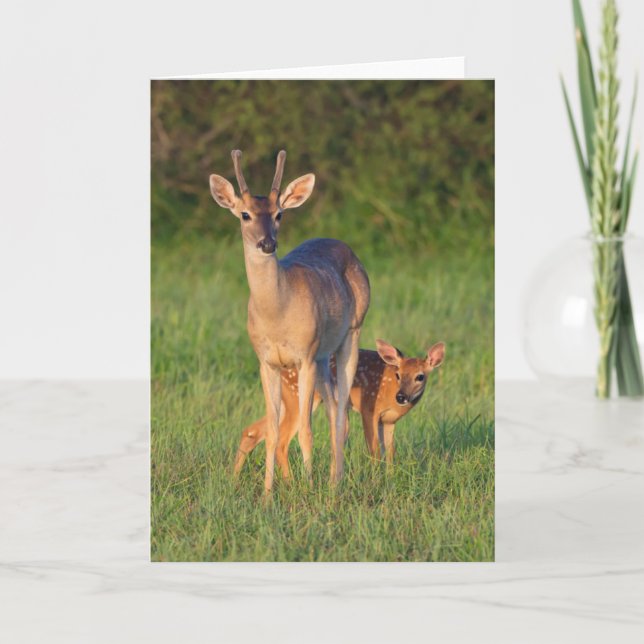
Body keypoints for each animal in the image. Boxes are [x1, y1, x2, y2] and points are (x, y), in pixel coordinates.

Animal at [209, 150, 370, 493]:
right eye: (244, 214)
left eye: (279, 214)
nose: (267, 244)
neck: (277, 315)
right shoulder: (266, 361)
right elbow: (272, 432)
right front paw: (268, 494)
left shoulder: (304, 355)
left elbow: (306, 432)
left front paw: (307, 492)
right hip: (322, 356)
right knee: (335, 407)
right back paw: (334, 480)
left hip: (351, 333)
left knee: (339, 411)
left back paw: (335, 484)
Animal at [233, 339, 445, 474]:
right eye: (398, 374)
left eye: (420, 376)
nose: (401, 396)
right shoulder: (369, 408)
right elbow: (375, 450)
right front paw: (376, 479)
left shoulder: (389, 421)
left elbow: (390, 452)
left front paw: (390, 477)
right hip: (298, 397)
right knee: (281, 441)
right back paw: (290, 483)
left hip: (287, 400)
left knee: (253, 430)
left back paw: (234, 479)